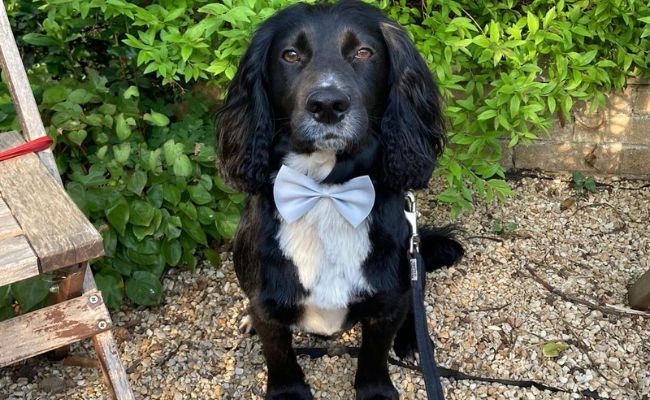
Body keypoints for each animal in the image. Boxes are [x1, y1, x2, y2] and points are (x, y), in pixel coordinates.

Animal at [215, 1, 464, 398]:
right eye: (291, 55)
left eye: (364, 53)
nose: (328, 104)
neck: (327, 192)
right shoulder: (267, 303)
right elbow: (279, 355)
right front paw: (288, 391)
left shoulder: (387, 300)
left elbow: (374, 353)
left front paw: (376, 390)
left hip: (415, 262)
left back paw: (412, 342)